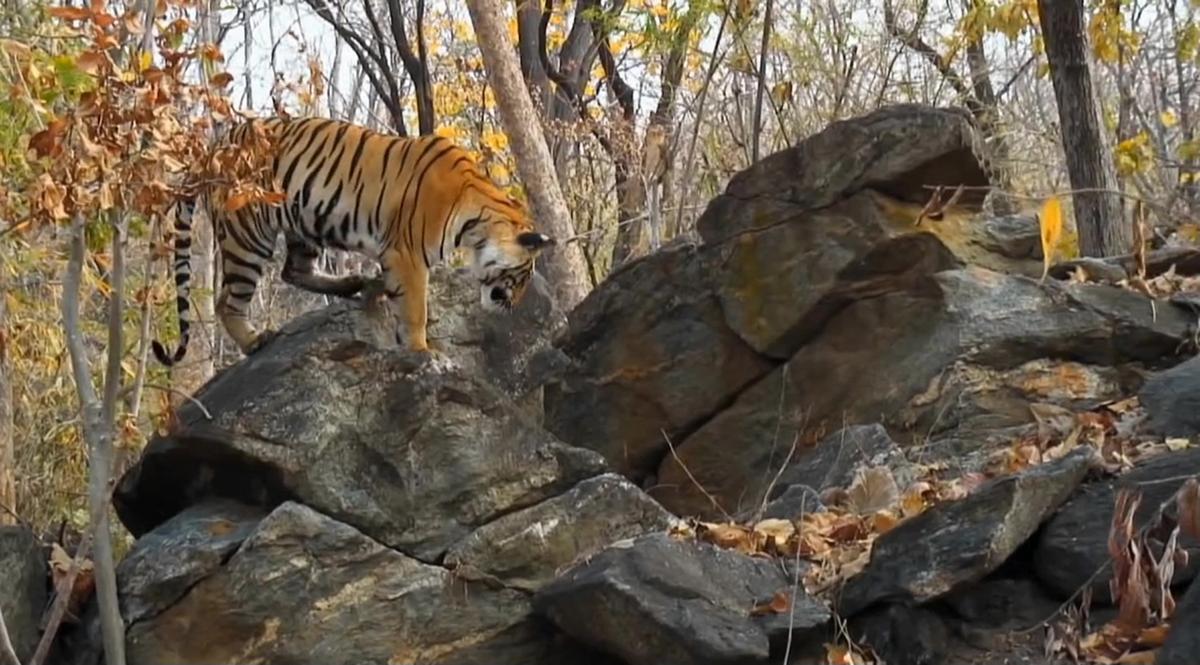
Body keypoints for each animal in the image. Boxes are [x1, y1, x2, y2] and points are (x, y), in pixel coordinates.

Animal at [151, 116, 556, 364]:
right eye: (522, 275)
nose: (512, 306)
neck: (477, 221)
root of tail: (212, 149)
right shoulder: (407, 253)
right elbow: (416, 309)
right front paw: (422, 352)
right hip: (247, 236)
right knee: (227, 301)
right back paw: (254, 340)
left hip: (303, 226)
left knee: (292, 271)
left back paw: (356, 282)